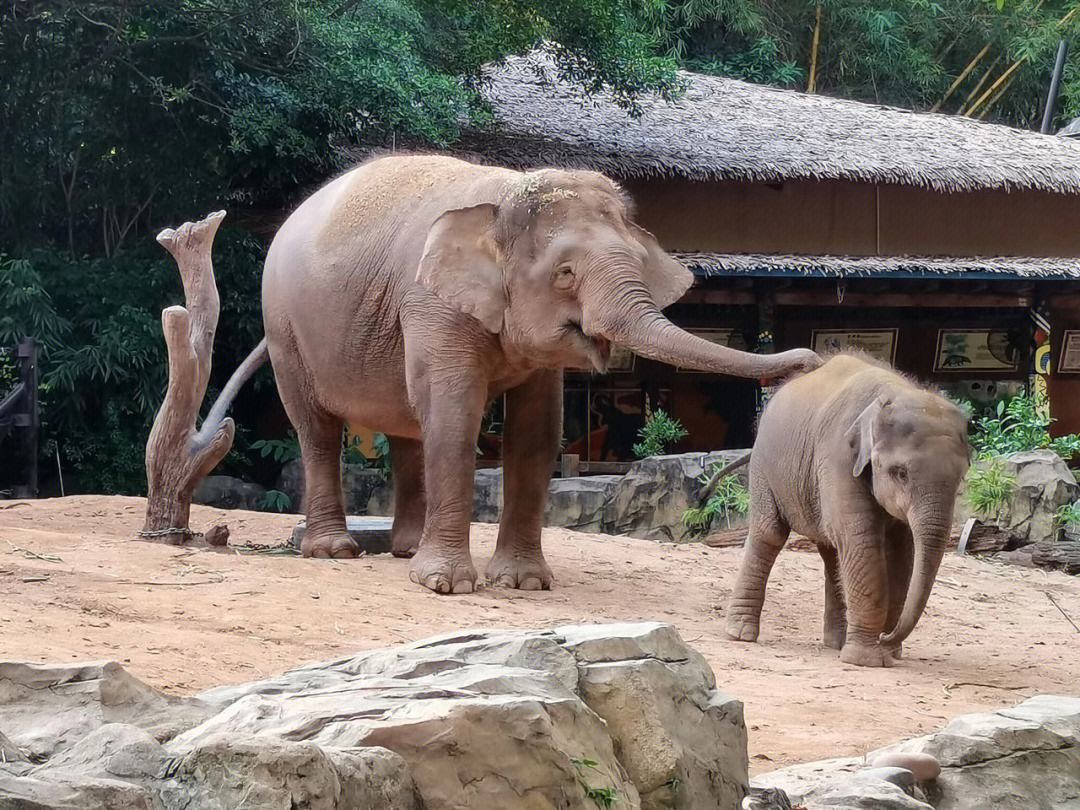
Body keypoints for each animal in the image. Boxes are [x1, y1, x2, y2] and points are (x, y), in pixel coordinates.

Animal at [261, 155, 816, 591]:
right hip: (283, 327)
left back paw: (406, 552)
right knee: (317, 428)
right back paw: (334, 551)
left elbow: (537, 429)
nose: (809, 362)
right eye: (565, 273)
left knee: (407, 430)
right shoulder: (431, 304)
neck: (506, 193)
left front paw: (524, 583)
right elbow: (455, 414)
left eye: (639, 262)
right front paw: (446, 585)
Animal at [725, 354, 972, 665]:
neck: (893, 393)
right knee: (769, 533)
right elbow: (862, 540)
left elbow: (902, 552)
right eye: (900, 473)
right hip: (764, 467)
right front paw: (867, 659)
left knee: (832, 550)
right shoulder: (838, 456)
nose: (886, 637)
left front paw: (885, 653)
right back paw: (740, 633)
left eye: (961, 478)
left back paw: (836, 643)